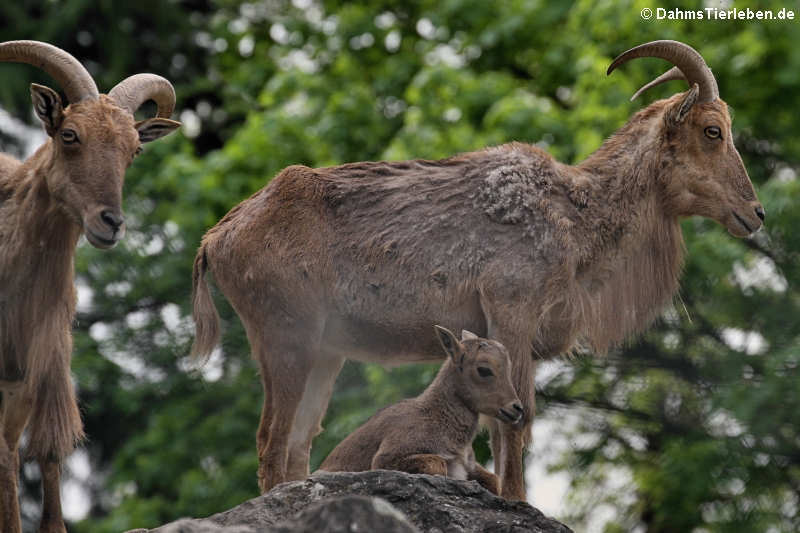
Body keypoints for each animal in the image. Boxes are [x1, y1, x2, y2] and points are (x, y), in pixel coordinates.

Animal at [191, 40, 764, 498]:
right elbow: (515, 425)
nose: (755, 214)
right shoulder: (511, 311)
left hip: (325, 353)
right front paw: (517, 500)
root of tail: (217, 237)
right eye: (713, 130)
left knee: (297, 442)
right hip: (285, 336)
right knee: (271, 439)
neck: (574, 217)